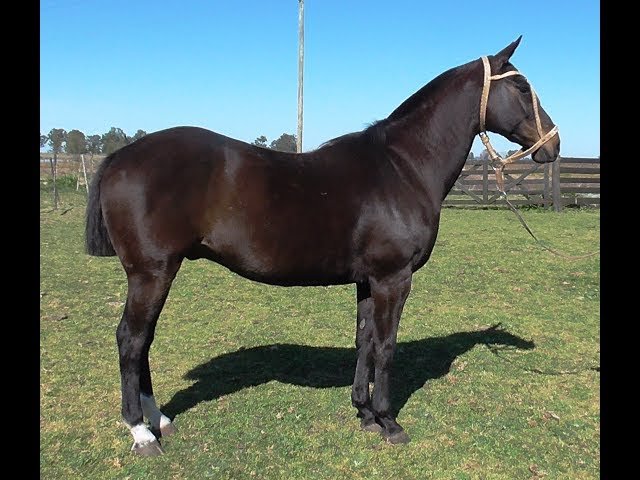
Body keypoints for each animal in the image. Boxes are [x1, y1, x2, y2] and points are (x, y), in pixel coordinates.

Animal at [85, 36, 560, 456]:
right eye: (521, 87)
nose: (553, 143)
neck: (402, 167)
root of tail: (121, 157)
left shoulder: (369, 281)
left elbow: (364, 340)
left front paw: (364, 413)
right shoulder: (393, 279)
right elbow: (386, 346)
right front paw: (389, 422)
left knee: (143, 340)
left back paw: (159, 419)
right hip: (152, 272)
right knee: (131, 339)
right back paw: (141, 432)